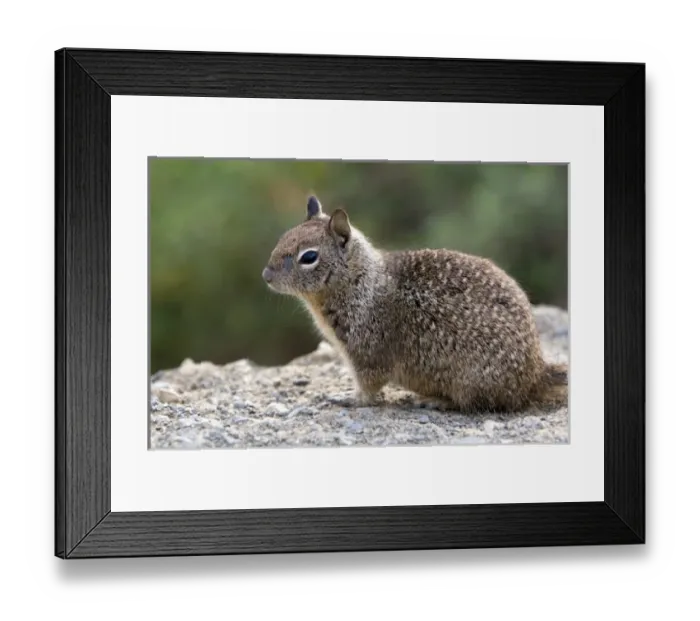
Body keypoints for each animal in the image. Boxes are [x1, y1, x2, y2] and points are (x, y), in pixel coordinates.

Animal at [262, 196, 568, 413]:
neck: (360, 280)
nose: (266, 275)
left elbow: (368, 388)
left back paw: (437, 401)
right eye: (282, 238)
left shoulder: (368, 353)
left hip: (473, 381)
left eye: (308, 257)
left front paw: (348, 398)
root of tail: (536, 374)